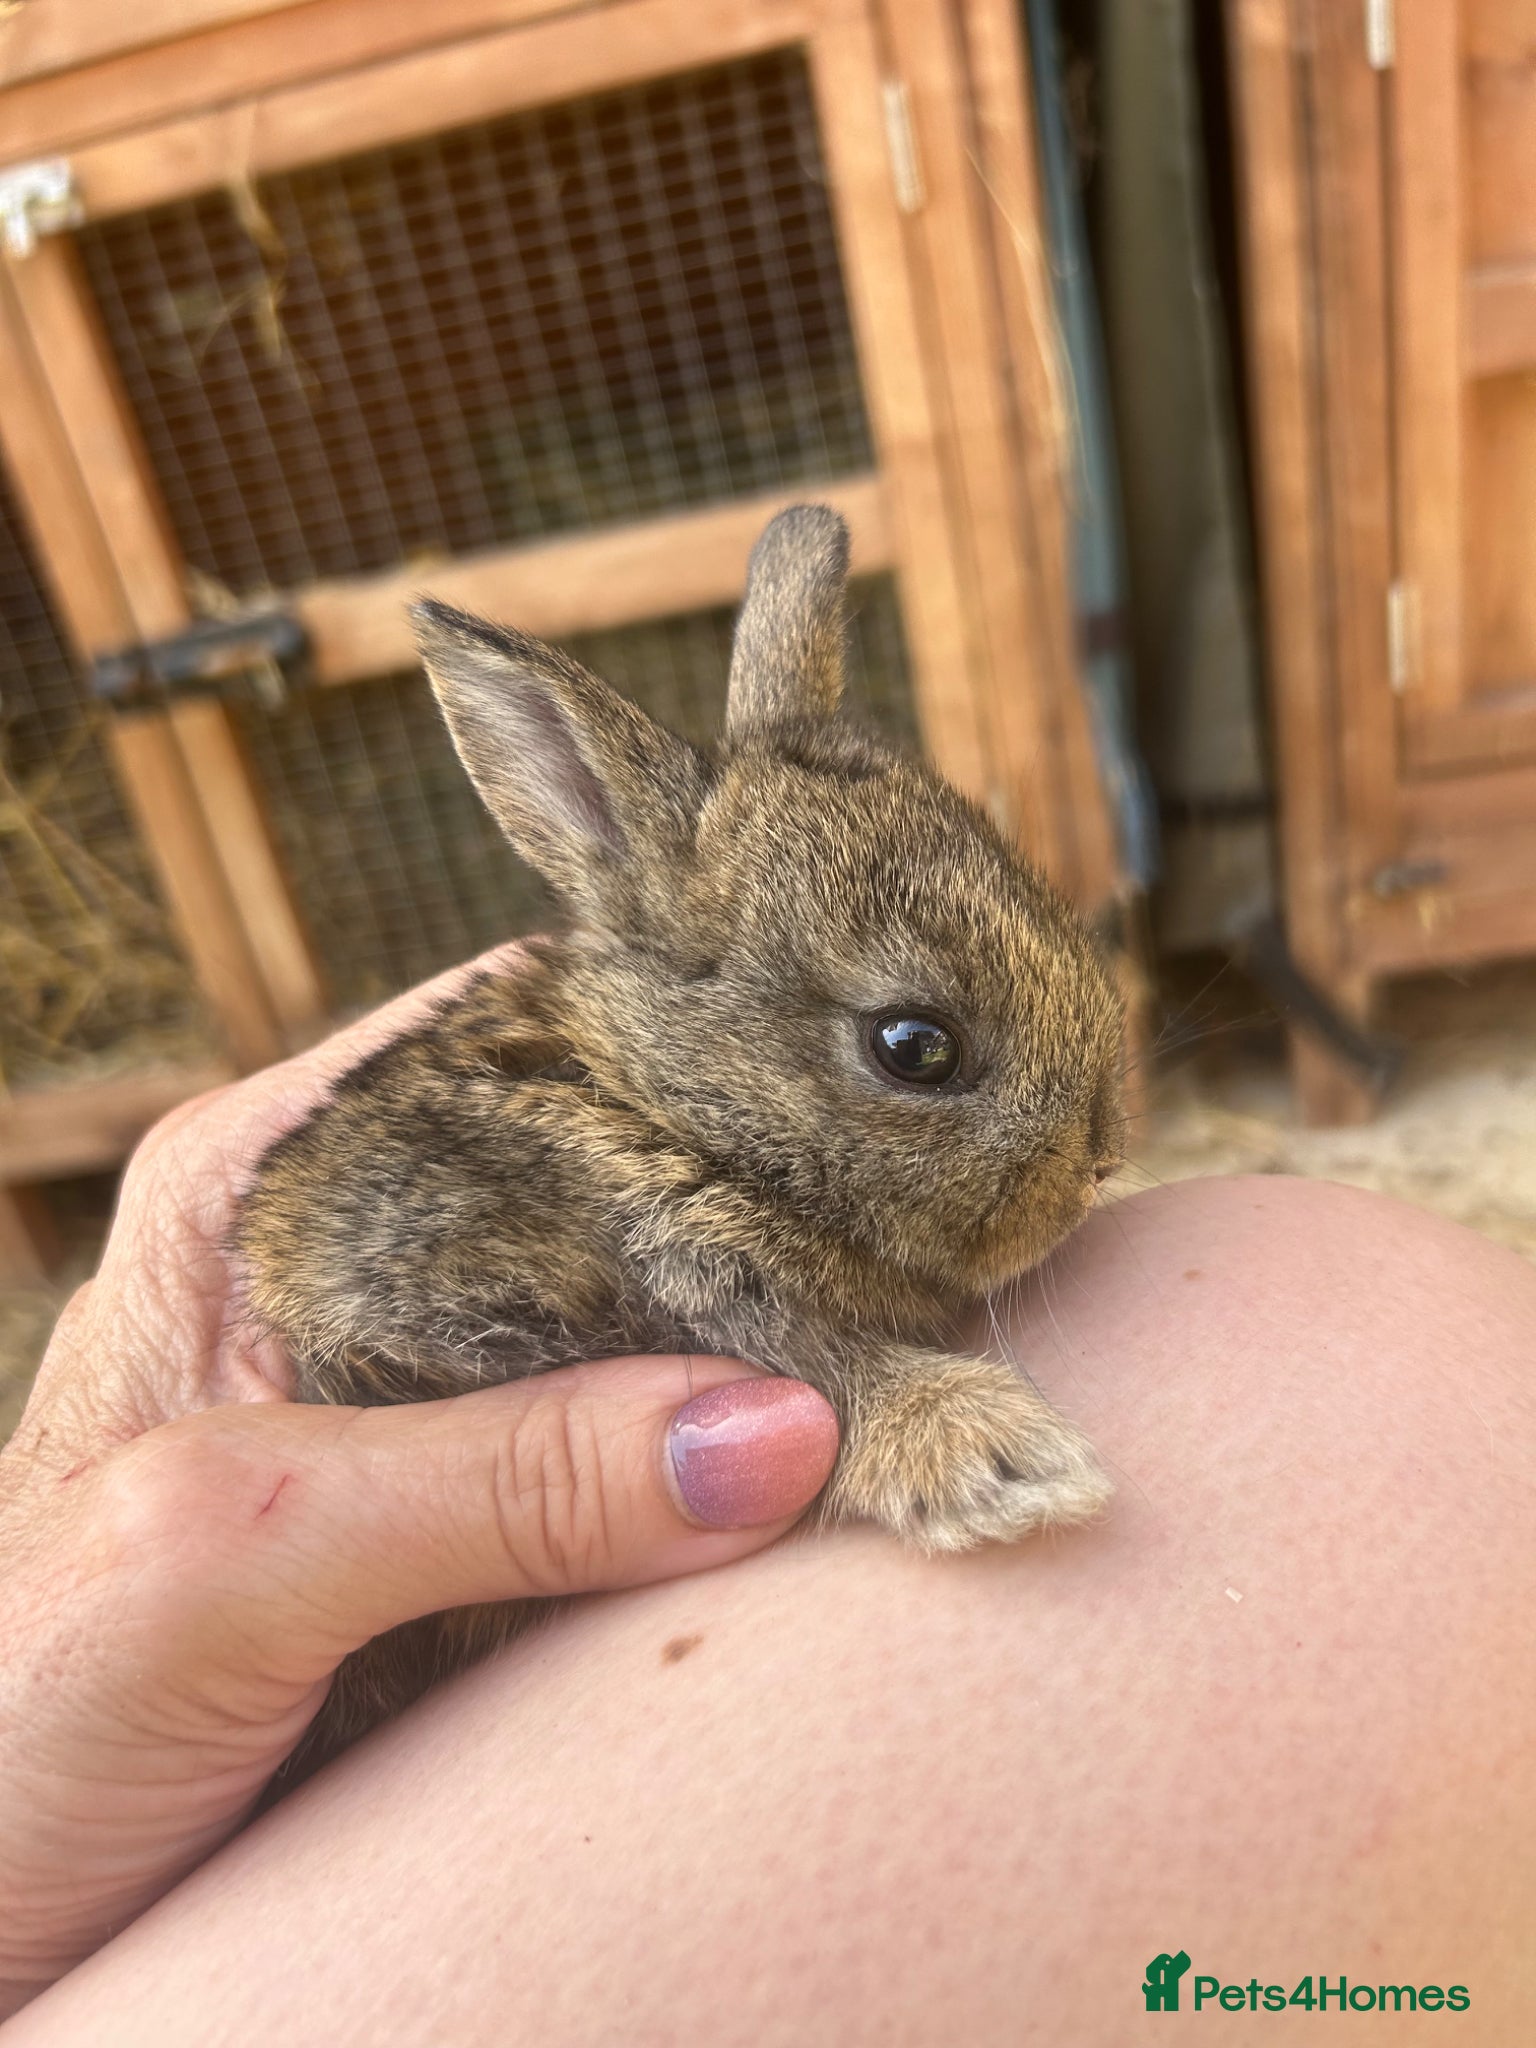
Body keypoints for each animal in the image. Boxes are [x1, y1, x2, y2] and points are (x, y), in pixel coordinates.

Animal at [238, 503, 1126, 1782]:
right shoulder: (536, 1298)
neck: (665, 1113)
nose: (1099, 1158)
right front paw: (1007, 1459)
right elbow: (812, 1364)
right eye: (916, 1045)